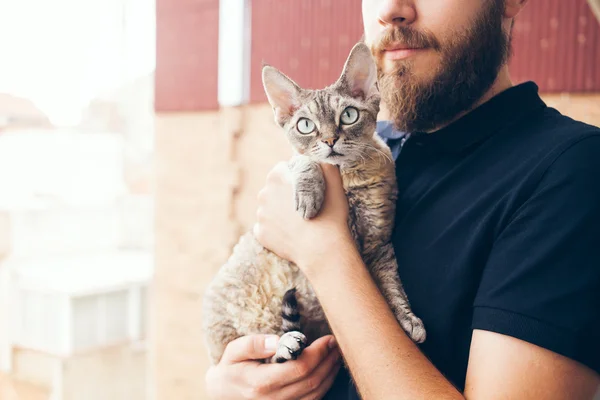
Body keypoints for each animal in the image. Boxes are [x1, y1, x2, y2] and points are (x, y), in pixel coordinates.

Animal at [203, 41, 426, 366]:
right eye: (305, 125)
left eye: (349, 115)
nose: (330, 140)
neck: (348, 177)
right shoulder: (290, 163)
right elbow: (306, 161)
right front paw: (309, 194)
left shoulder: (378, 243)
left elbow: (392, 284)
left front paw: (405, 318)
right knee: (263, 354)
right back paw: (284, 344)